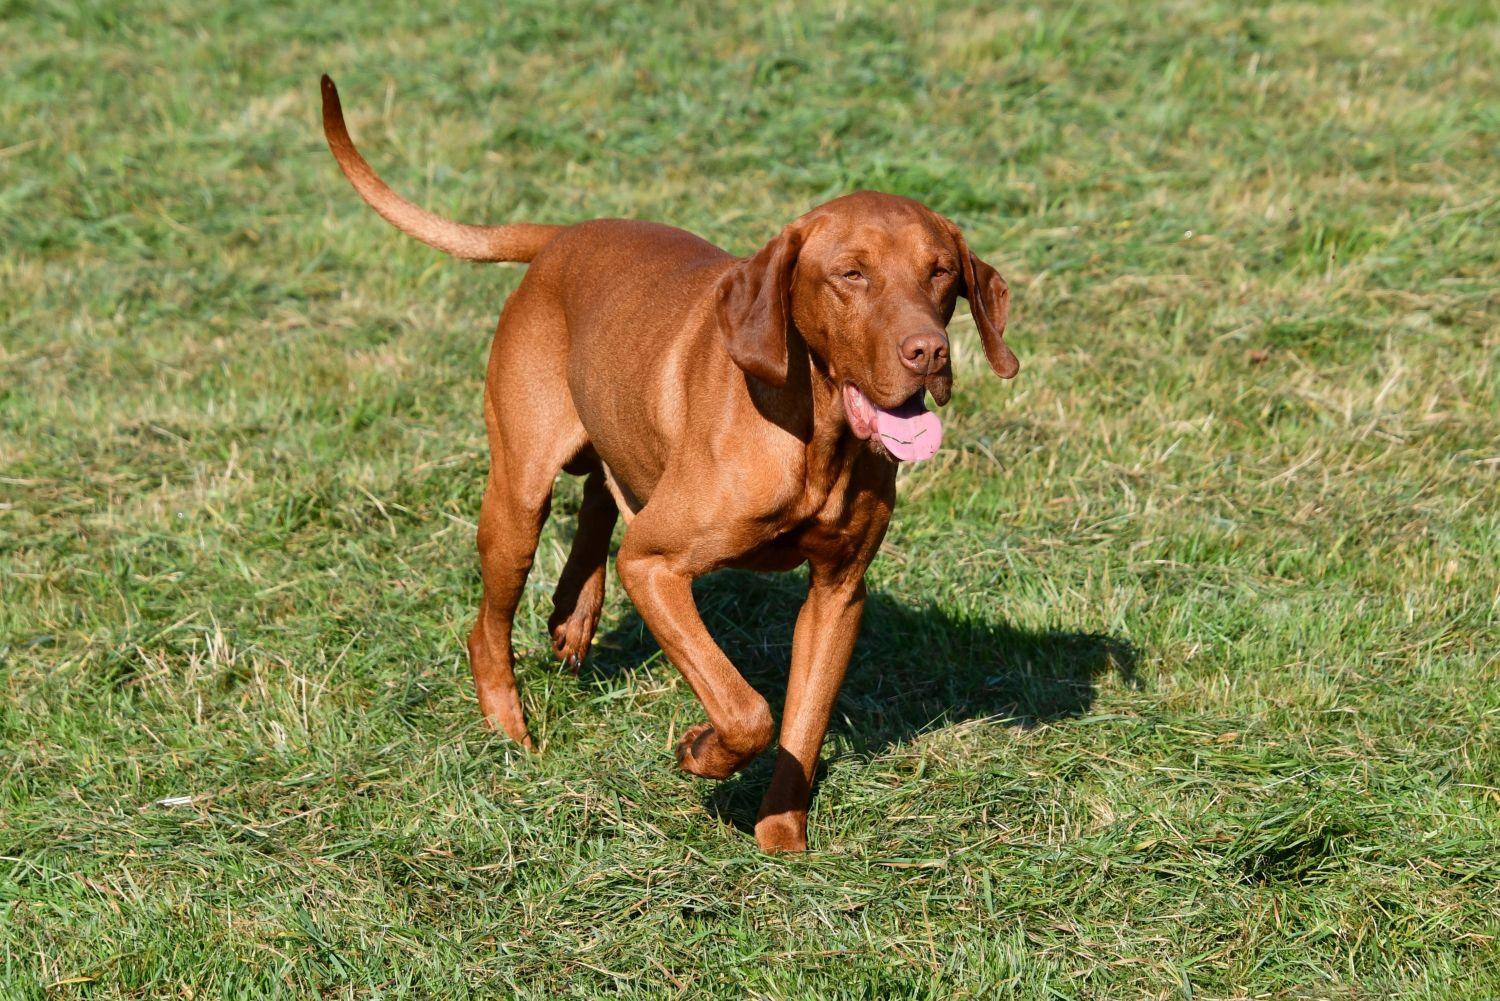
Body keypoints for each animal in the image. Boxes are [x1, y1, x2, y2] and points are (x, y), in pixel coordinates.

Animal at [316, 74, 1020, 852]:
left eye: (941, 273)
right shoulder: (655, 566)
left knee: (601, 493)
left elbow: (801, 723)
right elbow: (747, 709)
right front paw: (703, 753)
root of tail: (563, 235)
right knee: (488, 625)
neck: (817, 437)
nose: (929, 353)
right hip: (517, 499)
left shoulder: (839, 593)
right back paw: (509, 728)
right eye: (851, 274)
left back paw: (575, 610)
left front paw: (781, 838)